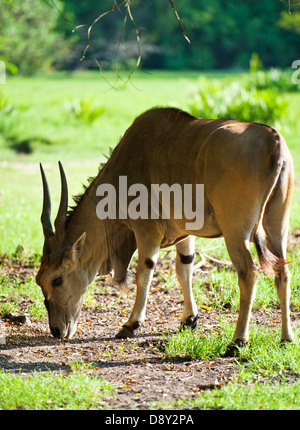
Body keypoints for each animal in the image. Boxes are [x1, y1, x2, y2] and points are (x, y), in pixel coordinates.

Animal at [35, 106, 292, 352]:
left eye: (56, 280)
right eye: (39, 281)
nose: (57, 330)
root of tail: (273, 141)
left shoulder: (146, 231)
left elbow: (144, 273)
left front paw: (131, 325)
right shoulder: (186, 234)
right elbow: (184, 269)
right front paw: (189, 319)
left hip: (236, 233)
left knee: (249, 273)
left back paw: (237, 341)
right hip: (276, 229)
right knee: (283, 272)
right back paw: (286, 339)